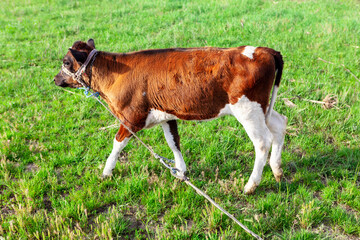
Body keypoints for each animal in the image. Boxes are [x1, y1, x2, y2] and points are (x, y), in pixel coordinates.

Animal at [53, 38, 288, 194]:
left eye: (66, 62)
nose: (55, 79)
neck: (115, 75)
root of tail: (265, 51)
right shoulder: (167, 115)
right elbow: (173, 142)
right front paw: (181, 172)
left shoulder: (132, 118)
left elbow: (117, 143)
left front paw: (106, 172)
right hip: (262, 108)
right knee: (279, 124)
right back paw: (277, 171)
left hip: (248, 110)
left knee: (262, 142)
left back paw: (251, 185)